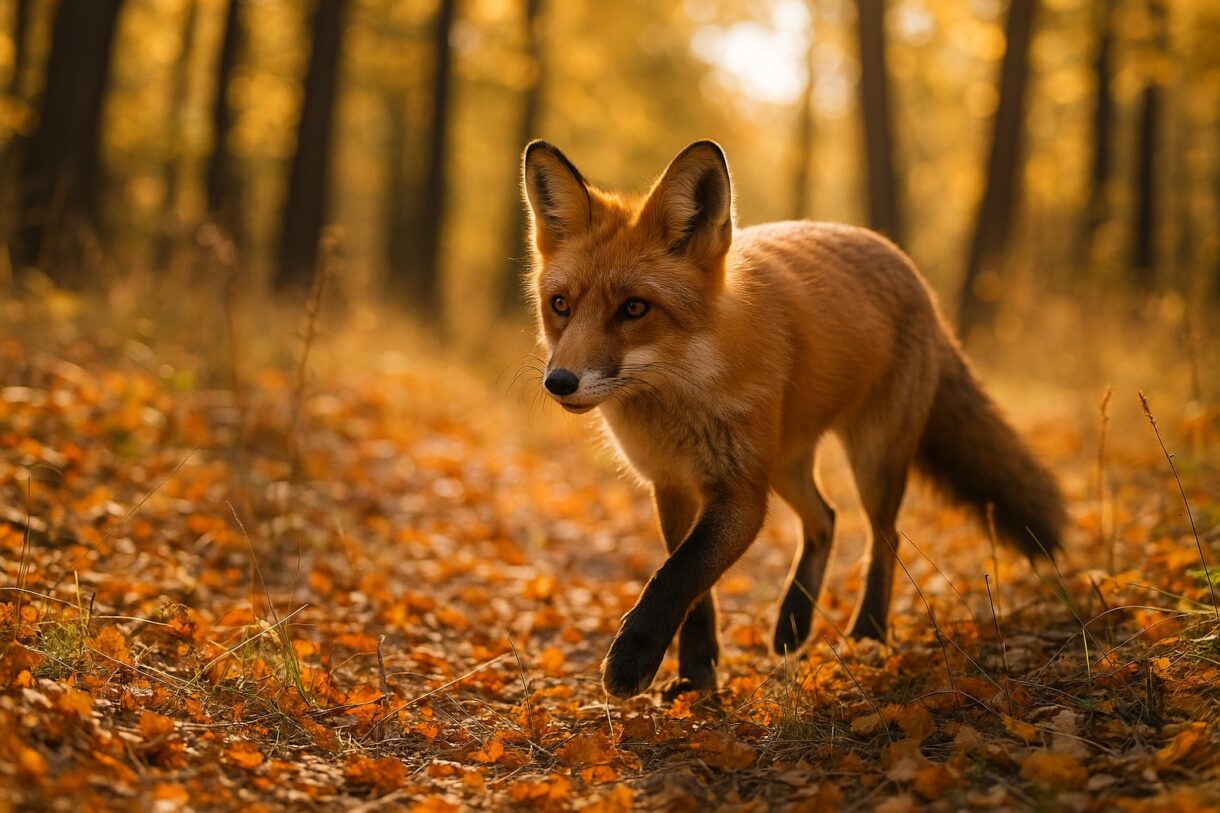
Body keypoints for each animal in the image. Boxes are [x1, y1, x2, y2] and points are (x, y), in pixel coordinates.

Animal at [521, 139, 1068, 700]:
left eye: (634, 308)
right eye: (560, 305)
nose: (559, 382)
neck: (683, 394)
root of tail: (906, 265)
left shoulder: (741, 493)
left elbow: (676, 576)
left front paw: (634, 658)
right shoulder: (671, 484)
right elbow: (695, 593)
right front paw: (696, 677)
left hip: (871, 460)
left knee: (883, 536)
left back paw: (869, 632)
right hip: (785, 465)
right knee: (826, 518)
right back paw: (793, 623)